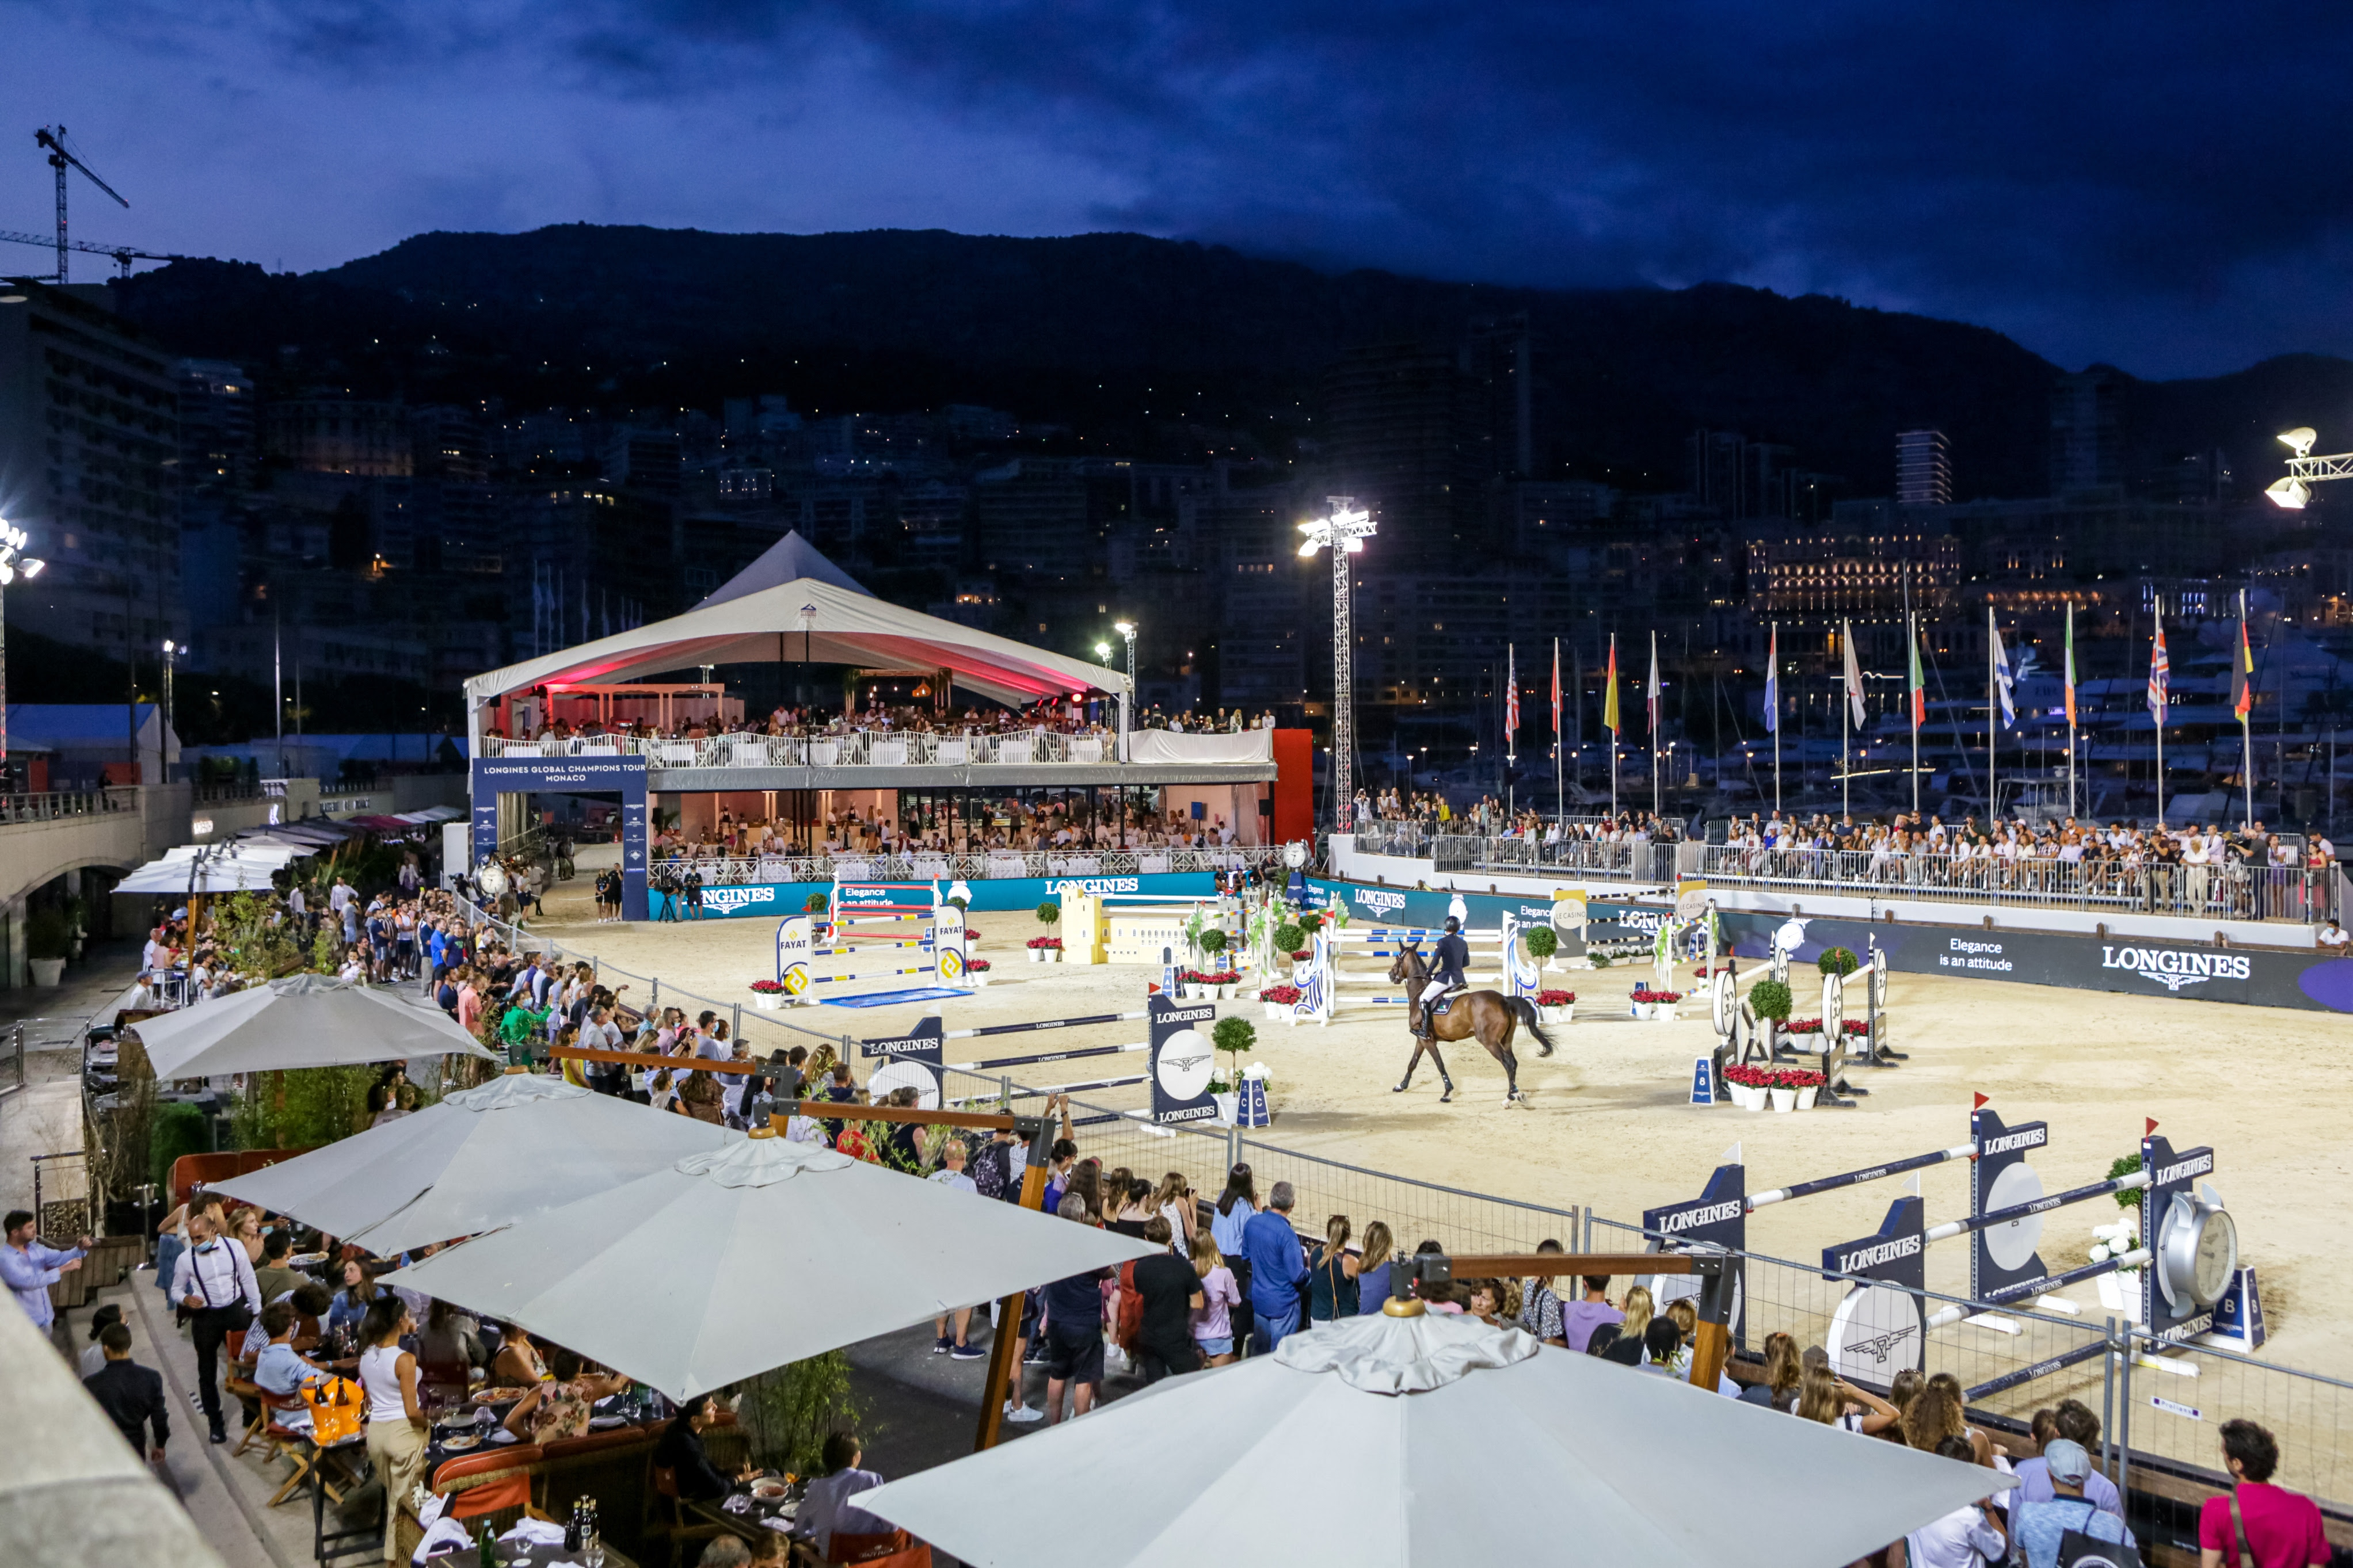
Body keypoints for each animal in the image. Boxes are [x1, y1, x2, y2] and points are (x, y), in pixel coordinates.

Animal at [1383, 940, 1553, 1109]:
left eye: (1398, 958)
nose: (1391, 975)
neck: (1420, 991)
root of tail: (1504, 1000)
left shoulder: (1427, 1040)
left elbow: (1440, 1064)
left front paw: (1447, 1093)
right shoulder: (1421, 1040)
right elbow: (1413, 1063)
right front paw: (1401, 1086)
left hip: (1489, 1041)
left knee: (1508, 1063)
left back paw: (1510, 1097)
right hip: (1506, 1040)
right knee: (1514, 1063)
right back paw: (1514, 1095)